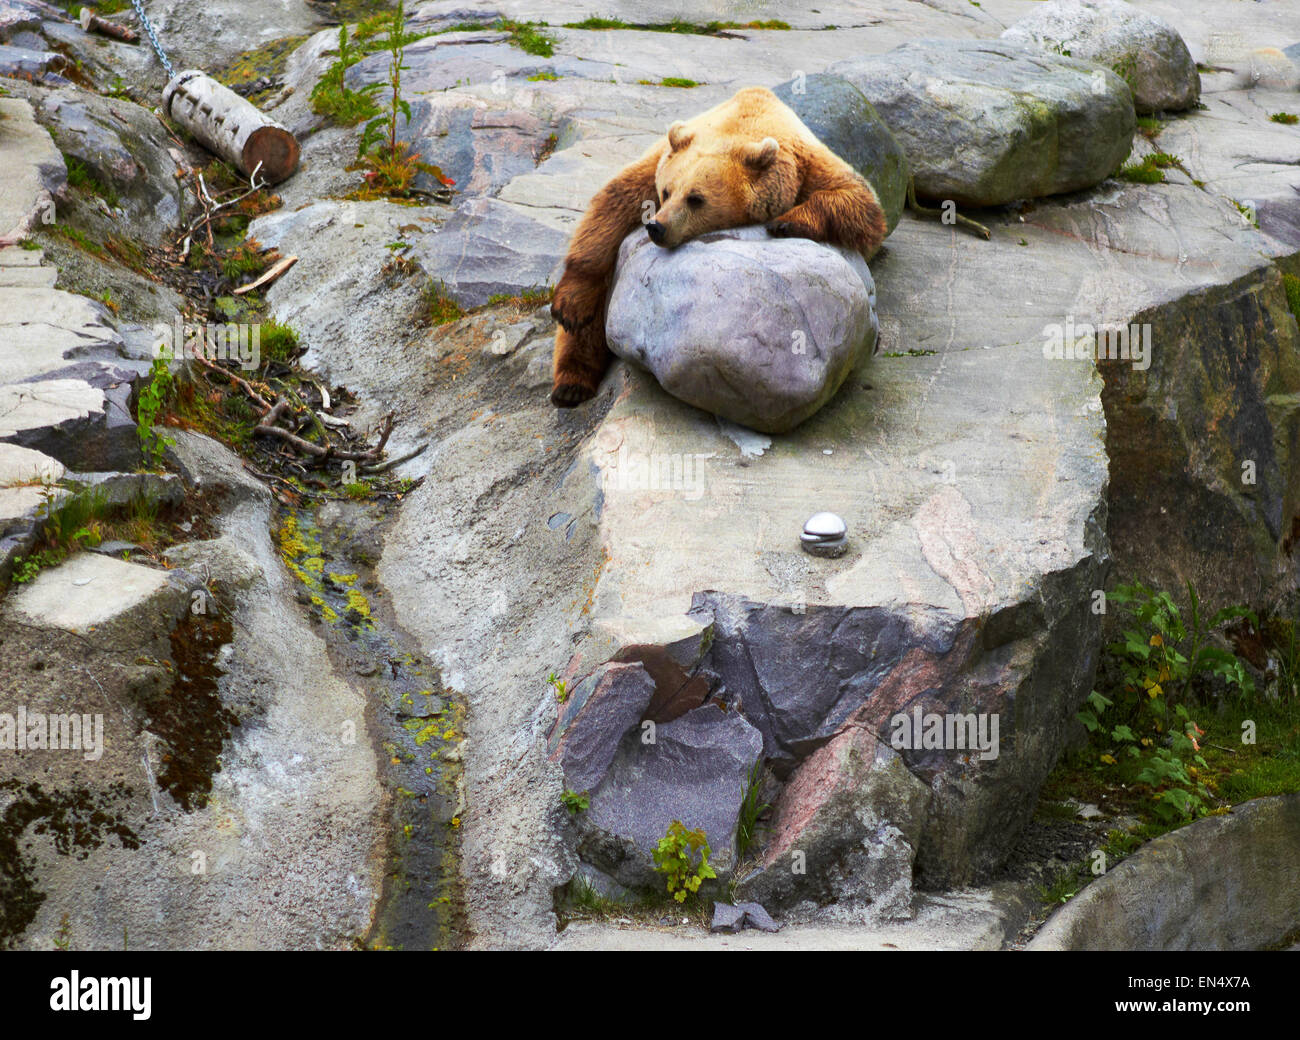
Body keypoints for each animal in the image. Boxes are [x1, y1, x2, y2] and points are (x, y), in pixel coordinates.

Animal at [548, 83, 894, 408]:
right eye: (666, 191)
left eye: (696, 198)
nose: (657, 227)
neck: (745, 122)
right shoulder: (656, 164)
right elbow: (611, 208)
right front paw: (570, 306)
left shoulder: (810, 167)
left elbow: (862, 205)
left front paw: (788, 221)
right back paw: (570, 383)